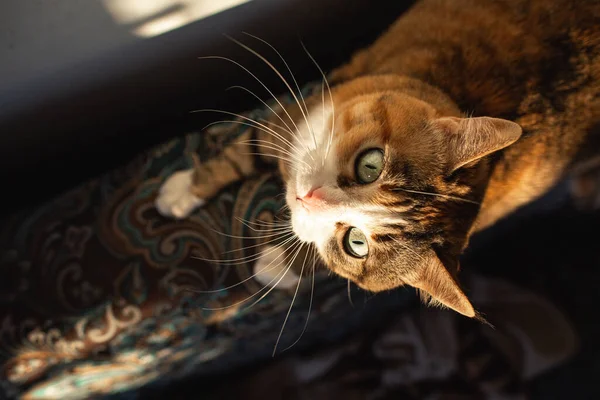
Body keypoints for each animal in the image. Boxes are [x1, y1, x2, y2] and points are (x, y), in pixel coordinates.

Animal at [156, 0, 600, 318]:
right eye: (370, 165)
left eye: (356, 243)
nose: (307, 198)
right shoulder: (305, 113)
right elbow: (244, 152)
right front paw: (181, 192)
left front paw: (278, 265)